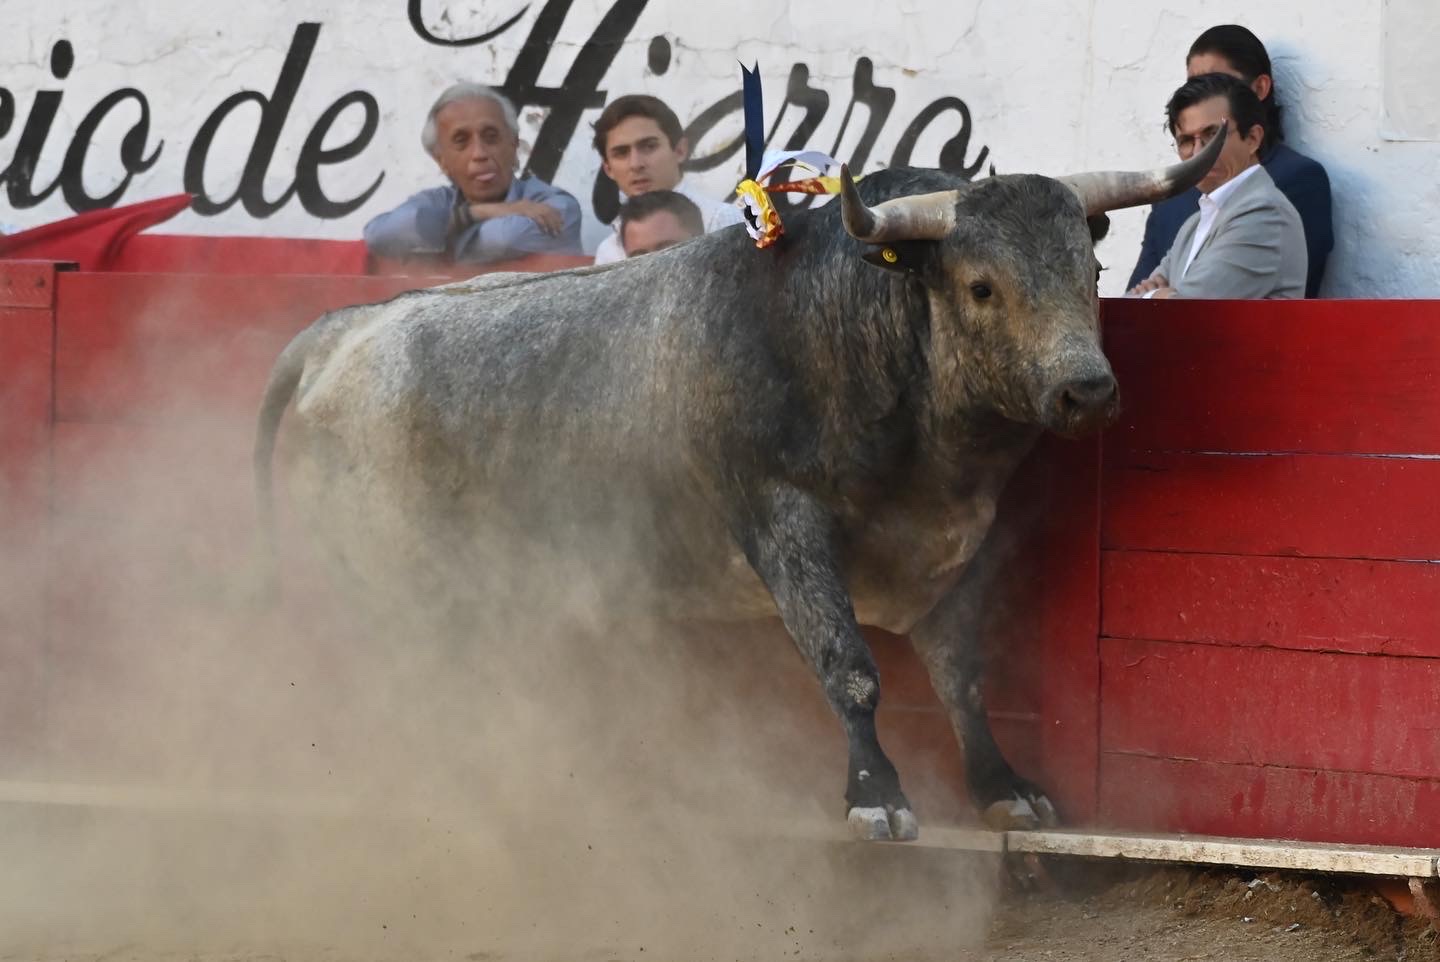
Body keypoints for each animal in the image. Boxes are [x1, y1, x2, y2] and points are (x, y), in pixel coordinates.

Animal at [254, 130, 1224, 841]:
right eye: (982, 287)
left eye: (1090, 273)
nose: (1086, 392)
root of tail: (340, 332)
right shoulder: (784, 523)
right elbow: (851, 668)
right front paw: (876, 796)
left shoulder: (957, 537)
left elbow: (963, 675)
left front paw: (1002, 788)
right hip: (392, 585)